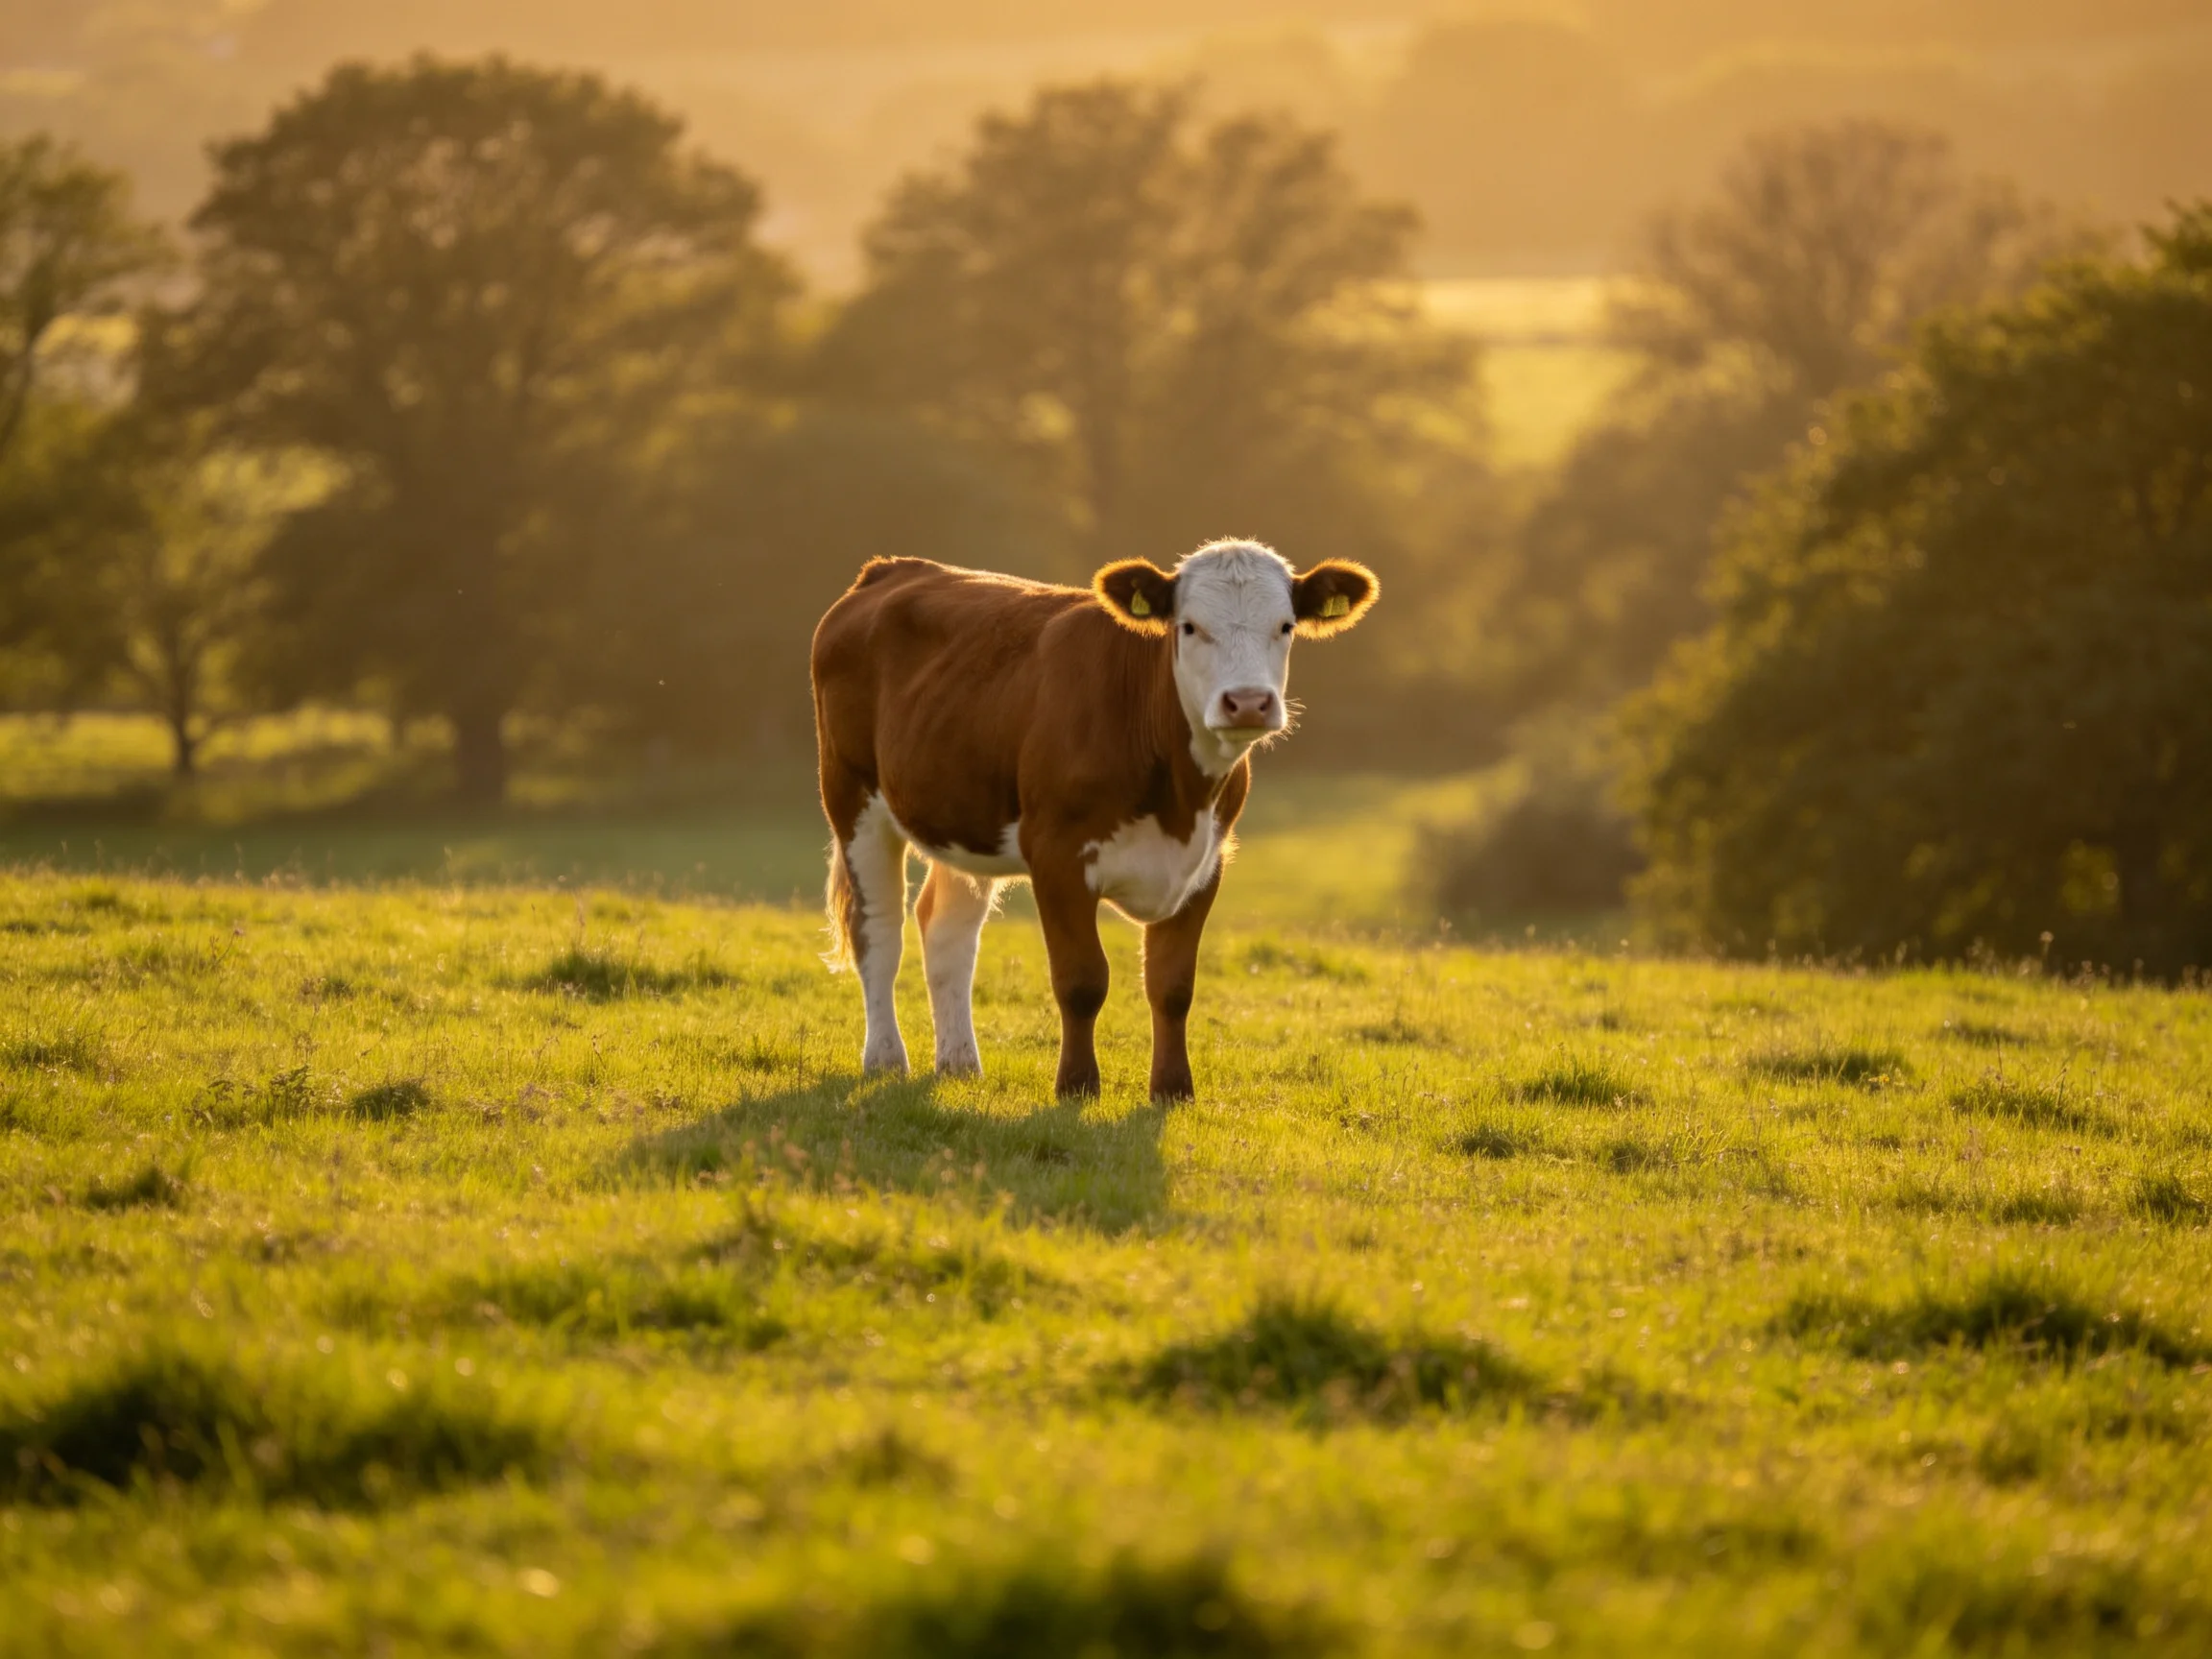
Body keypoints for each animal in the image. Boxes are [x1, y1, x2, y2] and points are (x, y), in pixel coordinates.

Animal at [810, 538, 1378, 1102]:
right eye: (1189, 626)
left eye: (1285, 626)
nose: (1248, 703)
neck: (1176, 798)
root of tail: (891, 569)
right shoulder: (1057, 855)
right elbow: (1082, 980)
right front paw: (1077, 1086)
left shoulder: (1206, 863)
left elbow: (1172, 985)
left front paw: (1173, 1089)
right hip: (853, 796)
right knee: (878, 930)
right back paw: (886, 1059)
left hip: (962, 812)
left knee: (947, 931)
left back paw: (960, 1064)